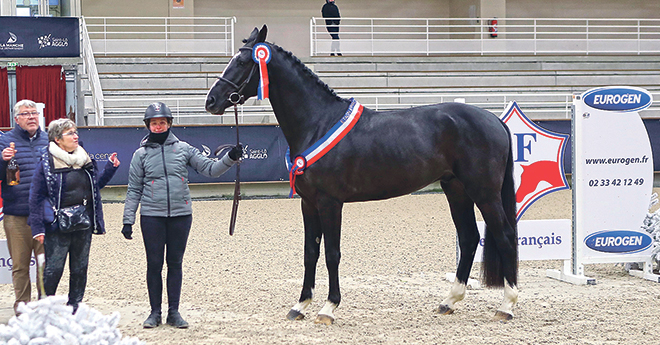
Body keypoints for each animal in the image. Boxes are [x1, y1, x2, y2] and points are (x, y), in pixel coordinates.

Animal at [204, 25, 520, 324]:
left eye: (243, 61)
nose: (211, 101)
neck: (318, 122)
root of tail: (494, 120)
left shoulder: (330, 203)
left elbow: (332, 254)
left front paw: (328, 308)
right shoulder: (308, 203)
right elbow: (310, 253)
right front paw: (300, 306)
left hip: (484, 192)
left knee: (505, 235)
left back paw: (506, 306)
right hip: (456, 190)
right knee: (468, 238)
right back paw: (449, 301)